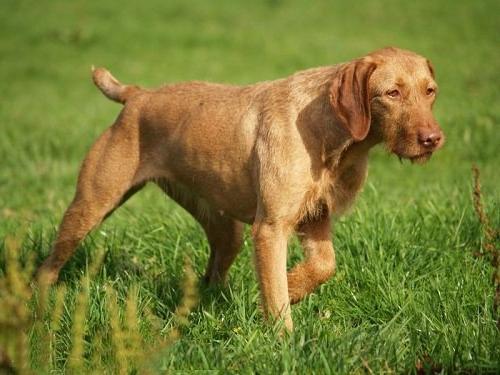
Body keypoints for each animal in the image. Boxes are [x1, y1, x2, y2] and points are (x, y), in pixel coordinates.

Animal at [39, 47, 446, 332]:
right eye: (391, 93)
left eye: (430, 91)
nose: (433, 139)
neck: (329, 133)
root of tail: (137, 95)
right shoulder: (270, 229)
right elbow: (276, 296)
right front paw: (285, 339)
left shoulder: (316, 218)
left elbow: (324, 266)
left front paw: (295, 286)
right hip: (90, 205)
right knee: (49, 265)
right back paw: (39, 307)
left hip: (226, 228)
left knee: (214, 270)